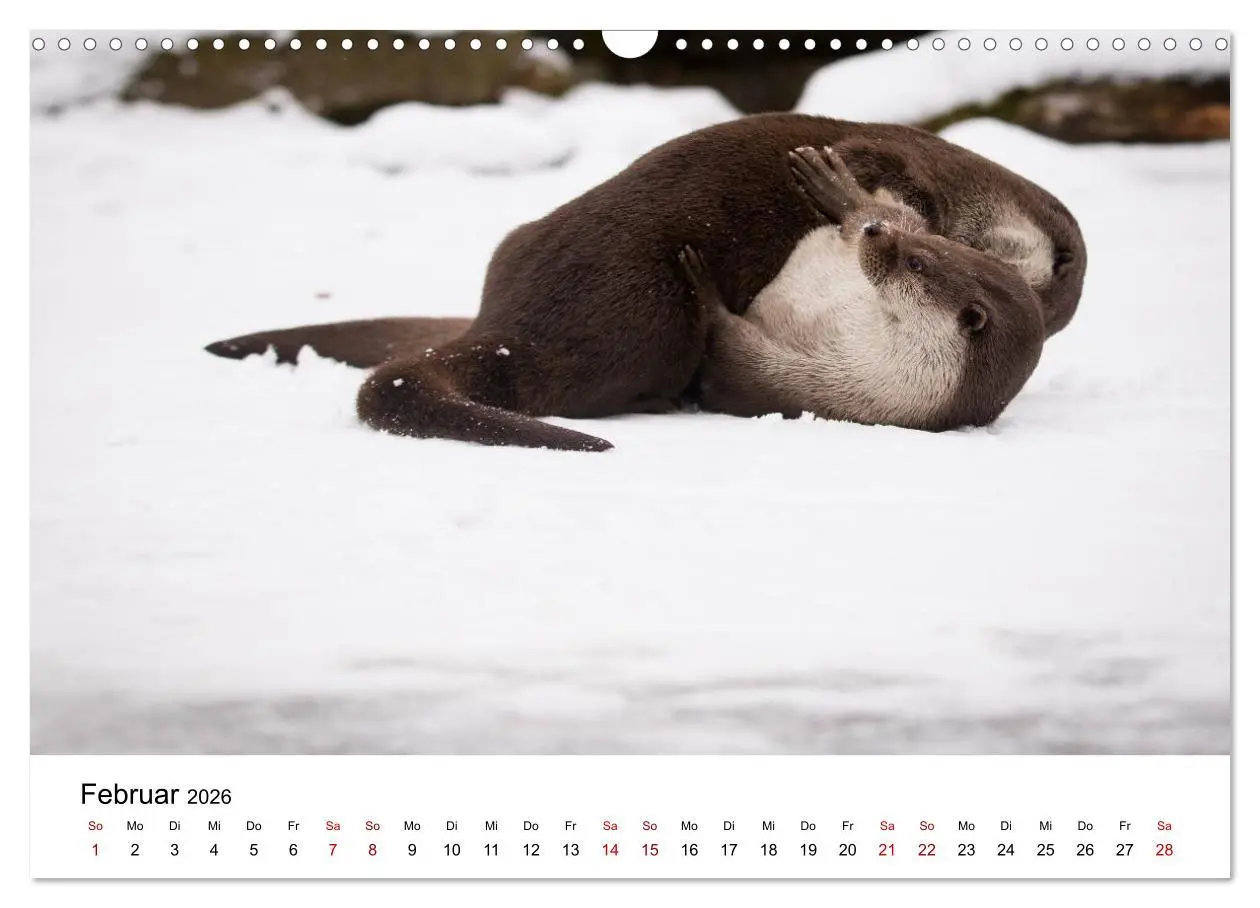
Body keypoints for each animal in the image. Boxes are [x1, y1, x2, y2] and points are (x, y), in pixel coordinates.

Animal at [206, 113, 1084, 451]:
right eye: (925, 258)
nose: (883, 243)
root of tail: (505, 332)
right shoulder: (913, 164)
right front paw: (844, 193)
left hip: (639, 312)